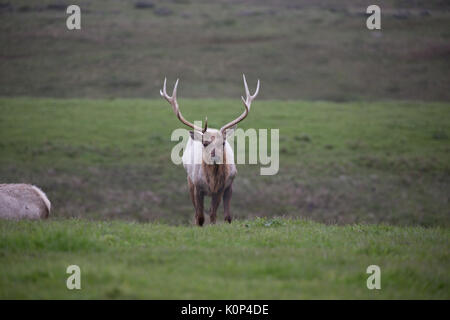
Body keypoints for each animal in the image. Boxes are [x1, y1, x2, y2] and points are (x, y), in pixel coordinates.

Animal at [161, 74, 260, 225]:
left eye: (223, 142)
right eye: (205, 143)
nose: (215, 156)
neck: (212, 182)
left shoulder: (220, 189)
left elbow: (214, 214)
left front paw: (214, 226)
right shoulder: (197, 186)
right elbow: (200, 217)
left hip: (228, 187)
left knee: (225, 214)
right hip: (189, 180)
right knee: (197, 212)